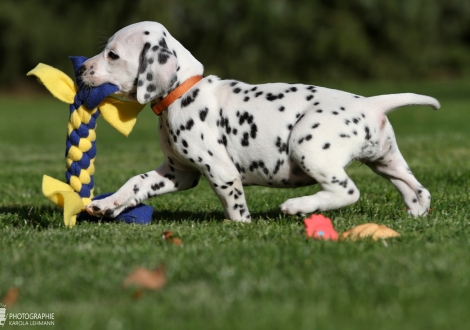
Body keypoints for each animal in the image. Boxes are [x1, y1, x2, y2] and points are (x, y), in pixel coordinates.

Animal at [80, 20, 440, 222]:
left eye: (113, 55)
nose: (82, 68)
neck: (184, 91)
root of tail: (371, 103)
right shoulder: (178, 172)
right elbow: (136, 183)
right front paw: (107, 204)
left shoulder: (220, 170)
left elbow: (233, 204)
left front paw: (239, 226)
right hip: (387, 160)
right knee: (417, 190)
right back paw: (414, 215)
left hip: (308, 146)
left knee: (347, 191)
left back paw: (298, 206)